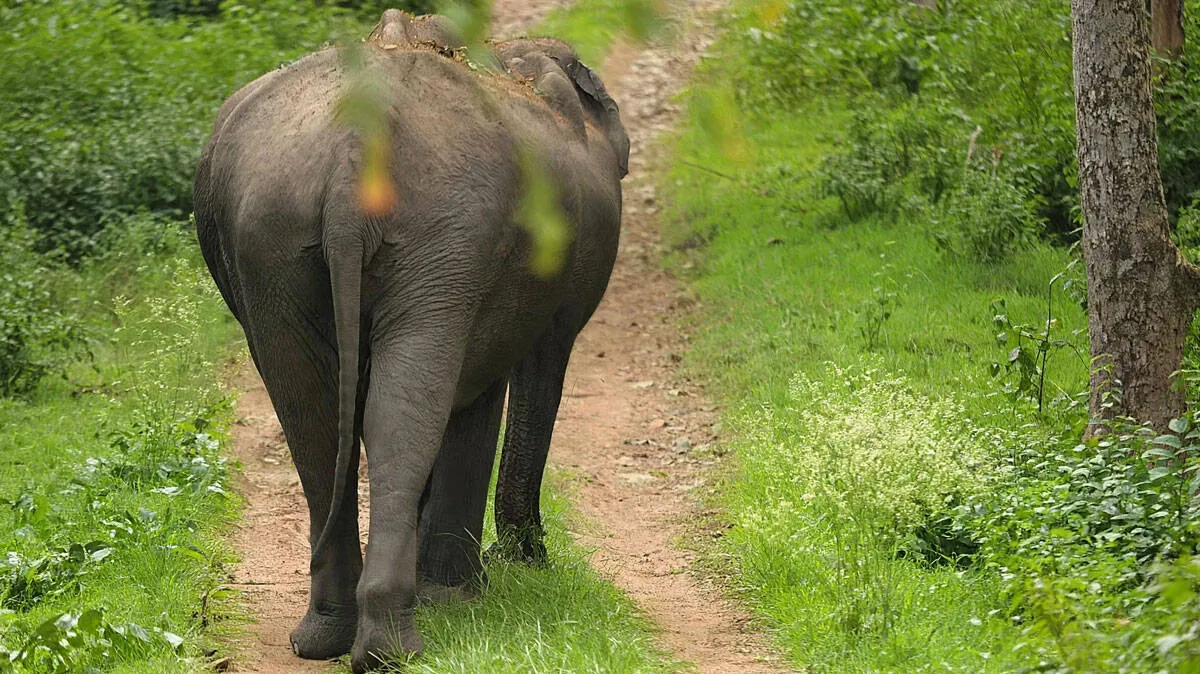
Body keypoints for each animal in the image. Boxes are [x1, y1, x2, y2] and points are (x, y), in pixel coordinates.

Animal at [193, 11, 628, 673]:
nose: (524, 556)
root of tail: (354, 154)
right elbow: (519, 373)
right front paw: (467, 590)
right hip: (437, 233)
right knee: (404, 407)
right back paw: (395, 642)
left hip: (274, 236)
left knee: (318, 413)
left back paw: (332, 636)